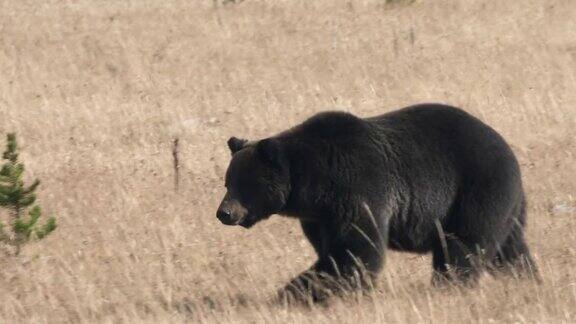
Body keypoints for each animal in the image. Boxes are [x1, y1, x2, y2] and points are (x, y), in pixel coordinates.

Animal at [217, 103, 540, 302]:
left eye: (246, 184)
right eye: (227, 181)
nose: (224, 212)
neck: (313, 184)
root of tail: (507, 148)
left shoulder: (358, 190)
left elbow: (356, 250)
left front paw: (310, 290)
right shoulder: (319, 217)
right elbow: (330, 251)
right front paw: (300, 290)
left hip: (474, 190)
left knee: (462, 247)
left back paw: (447, 287)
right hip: (506, 207)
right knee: (509, 250)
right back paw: (526, 281)